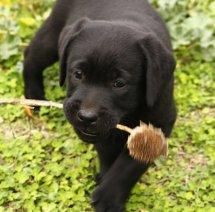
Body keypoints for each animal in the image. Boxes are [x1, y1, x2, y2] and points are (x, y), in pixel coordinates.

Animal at [22, 0, 176, 211]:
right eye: (78, 74)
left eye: (119, 83)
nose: (86, 117)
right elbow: (107, 150)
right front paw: (106, 181)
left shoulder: (161, 121)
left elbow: (131, 162)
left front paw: (109, 195)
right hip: (51, 37)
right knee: (30, 56)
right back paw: (34, 95)